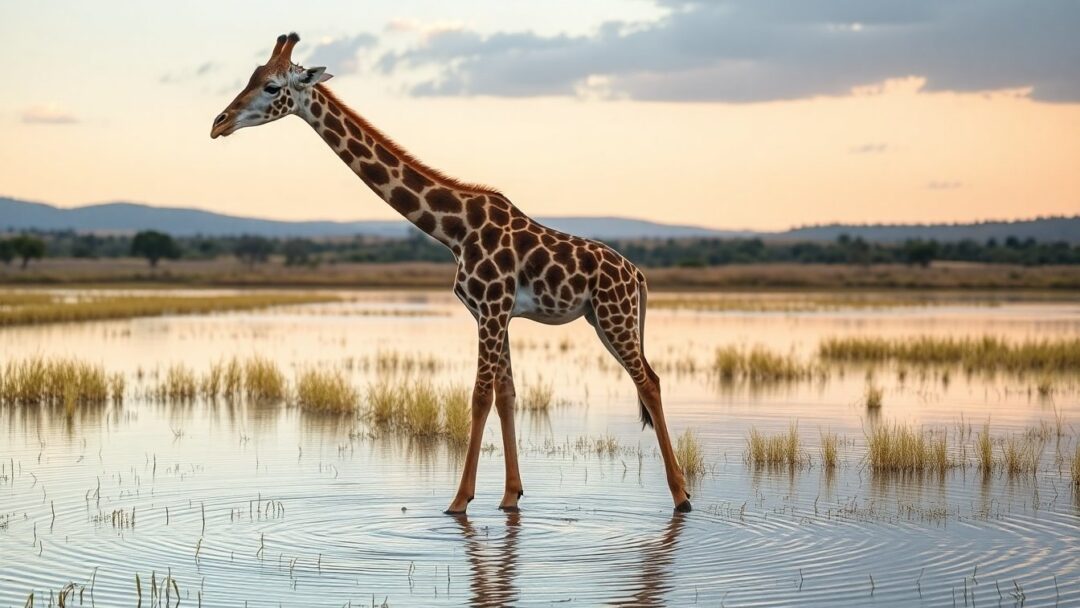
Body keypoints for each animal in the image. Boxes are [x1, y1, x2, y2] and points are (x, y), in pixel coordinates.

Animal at [211, 33, 692, 514]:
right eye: (252, 77)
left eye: (272, 86)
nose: (219, 123)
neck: (455, 230)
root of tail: (638, 275)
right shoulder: (494, 313)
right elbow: (506, 395)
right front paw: (510, 496)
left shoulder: (492, 307)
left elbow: (479, 396)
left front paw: (459, 500)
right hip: (601, 318)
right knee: (648, 378)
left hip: (614, 316)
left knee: (648, 381)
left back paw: (682, 495)